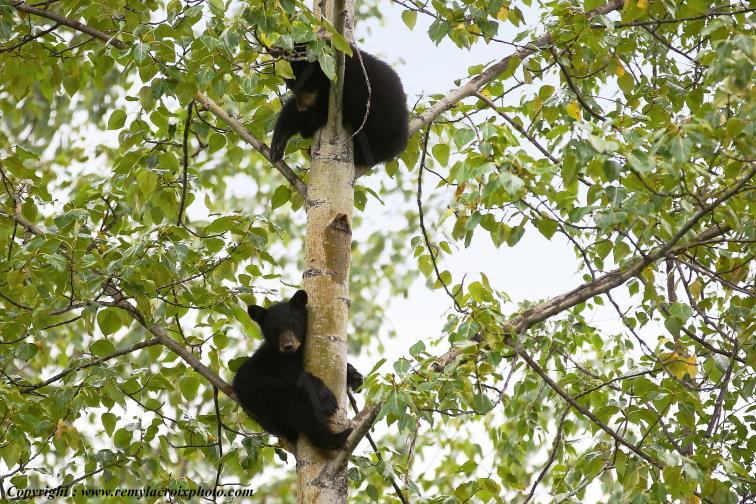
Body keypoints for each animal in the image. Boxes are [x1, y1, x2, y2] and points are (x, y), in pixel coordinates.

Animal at [232, 289, 363, 450]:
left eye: (293, 324)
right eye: (275, 329)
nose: (288, 346)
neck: (294, 353)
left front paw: (355, 376)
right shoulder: (278, 362)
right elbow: (297, 376)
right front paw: (327, 398)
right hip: (266, 397)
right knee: (299, 408)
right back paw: (335, 438)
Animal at [269, 44, 409, 169]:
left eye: (305, 85)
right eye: (291, 86)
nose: (301, 106)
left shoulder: (354, 87)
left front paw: (310, 123)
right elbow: (291, 113)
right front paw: (277, 145)